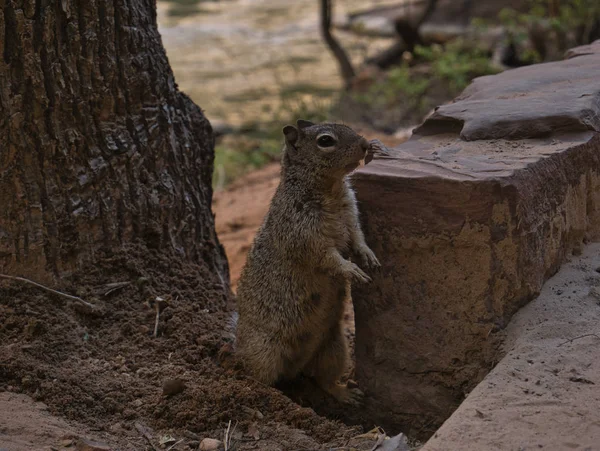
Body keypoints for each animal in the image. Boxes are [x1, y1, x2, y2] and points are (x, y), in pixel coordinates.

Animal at [232, 120, 386, 406]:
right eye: (325, 141)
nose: (365, 144)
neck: (332, 189)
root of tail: (295, 366)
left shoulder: (351, 216)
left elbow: (358, 237)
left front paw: (367, 254)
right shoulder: (303, 234)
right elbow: (327, 257)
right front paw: (352, 270)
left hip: (334, 348)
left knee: (323, 380)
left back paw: (345, 393)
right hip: (265, 351)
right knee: (258, 376)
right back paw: (270, 396)